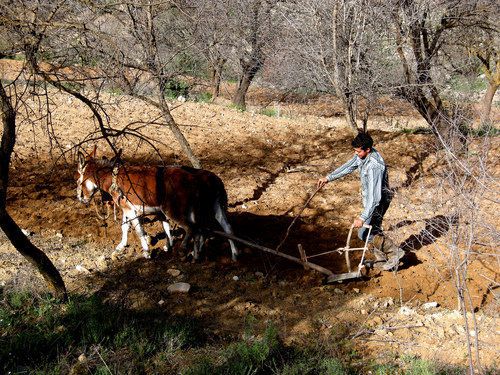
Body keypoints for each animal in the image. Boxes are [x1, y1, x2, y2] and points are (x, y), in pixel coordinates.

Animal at [76, 148, 238, 262]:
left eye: (78, 180)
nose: (80, 198)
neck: (113, 178)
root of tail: (215, 181)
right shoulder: (135, 210)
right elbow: (129, 227)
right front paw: (121, 246)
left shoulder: (131, 210)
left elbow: (139, 231)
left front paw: (147, 252)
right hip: (214, 207)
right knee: (224, 228)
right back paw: (233, 255)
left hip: (175, 210)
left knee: (192, 228)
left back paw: (186, 251)